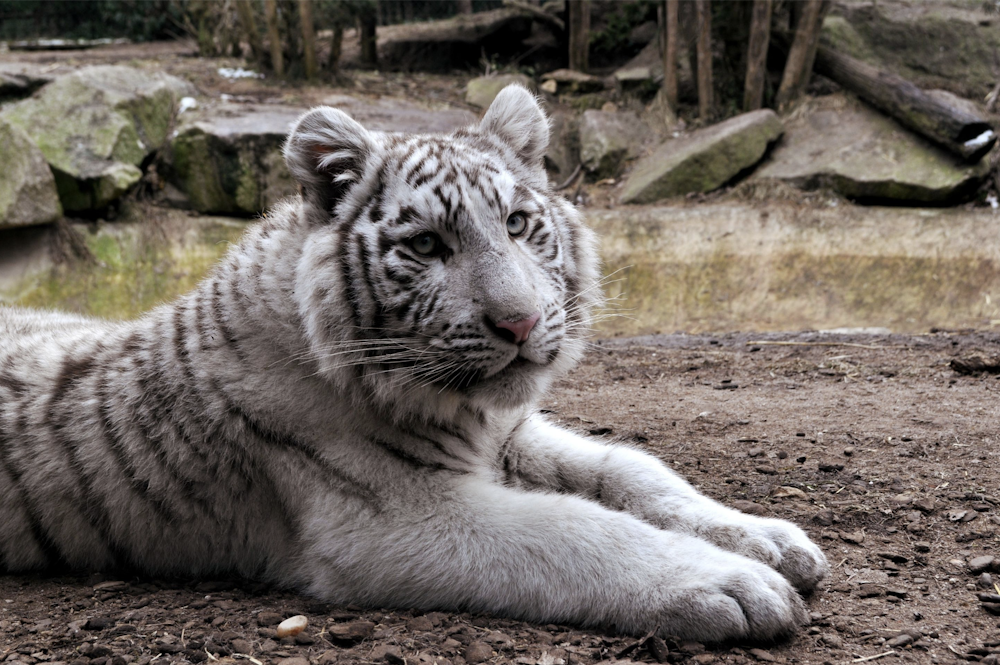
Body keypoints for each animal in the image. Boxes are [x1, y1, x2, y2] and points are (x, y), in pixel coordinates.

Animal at [0, 85, 828, 640]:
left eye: (519, 224)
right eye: (428, 245)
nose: (521, 321)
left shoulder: (510, 432)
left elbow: (631, 469)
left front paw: (768, 539)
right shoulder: (391, 521)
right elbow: (576, 527)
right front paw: (731, 582)